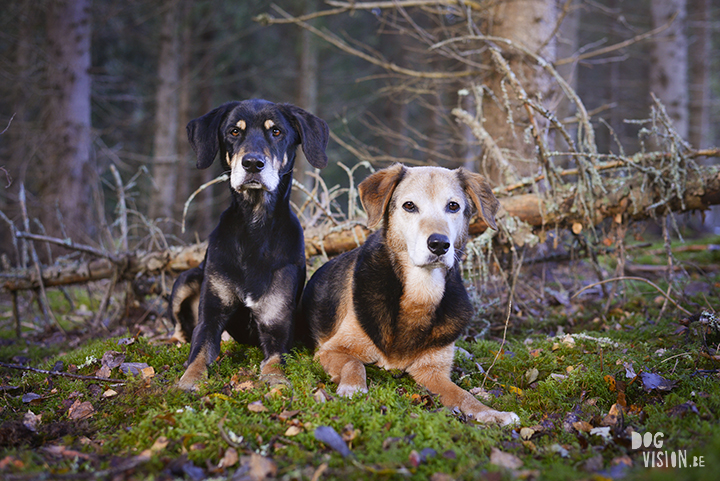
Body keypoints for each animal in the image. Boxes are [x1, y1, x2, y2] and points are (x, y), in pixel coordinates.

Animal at [170, 99, 329, 391]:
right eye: (234, 131)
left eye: (276, 131)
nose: (253, 163)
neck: (255, 227)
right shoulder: (210, 318)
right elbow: (198, 352)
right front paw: (189, 380)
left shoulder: (276, 321)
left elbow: (275, 360)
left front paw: (275, 380)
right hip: (185, 280)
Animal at [300, 164, 519, 425]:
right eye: (409, 206)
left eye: (453, 206)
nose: (439, 244)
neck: (422, 289)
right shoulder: (330, 350)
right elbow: (354, 364)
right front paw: (353, 388)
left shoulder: (432, 372)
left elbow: (464, 396)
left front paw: (492, 413)